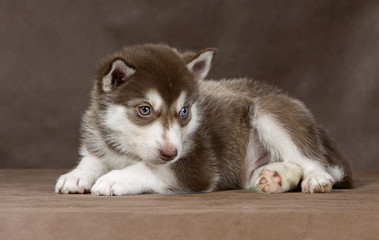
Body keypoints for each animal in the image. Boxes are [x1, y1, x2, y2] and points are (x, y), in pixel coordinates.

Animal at [55, 44, 354, 196]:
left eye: (184, 112)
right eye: (144, 110)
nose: (170, 153)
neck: (127, 149)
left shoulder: (200, 165)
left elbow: (151, 169)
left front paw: (115, 178)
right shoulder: (99, 140)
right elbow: (92, 159)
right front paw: (76, 176)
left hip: (268, 110)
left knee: (313, 161)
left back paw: (314, 178)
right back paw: (273, 177)